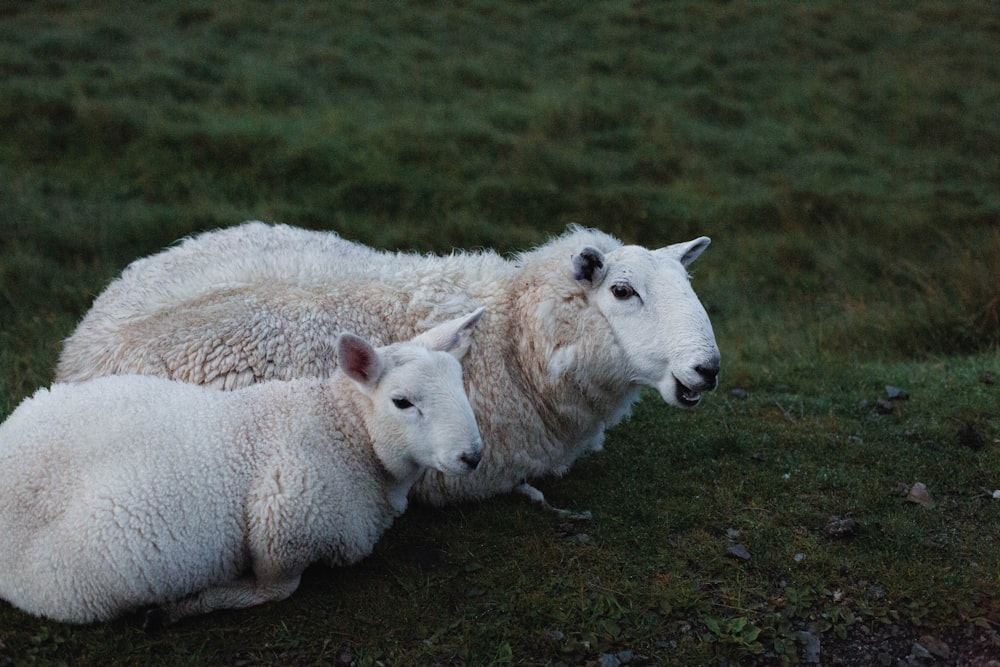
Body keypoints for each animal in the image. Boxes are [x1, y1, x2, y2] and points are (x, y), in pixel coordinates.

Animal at [0, 310, 484, 624]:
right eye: (402, 402)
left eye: (460, 384)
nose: (473, 456)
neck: (346, 431)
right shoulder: (284, 526)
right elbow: (275, 590)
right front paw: (196, 602)